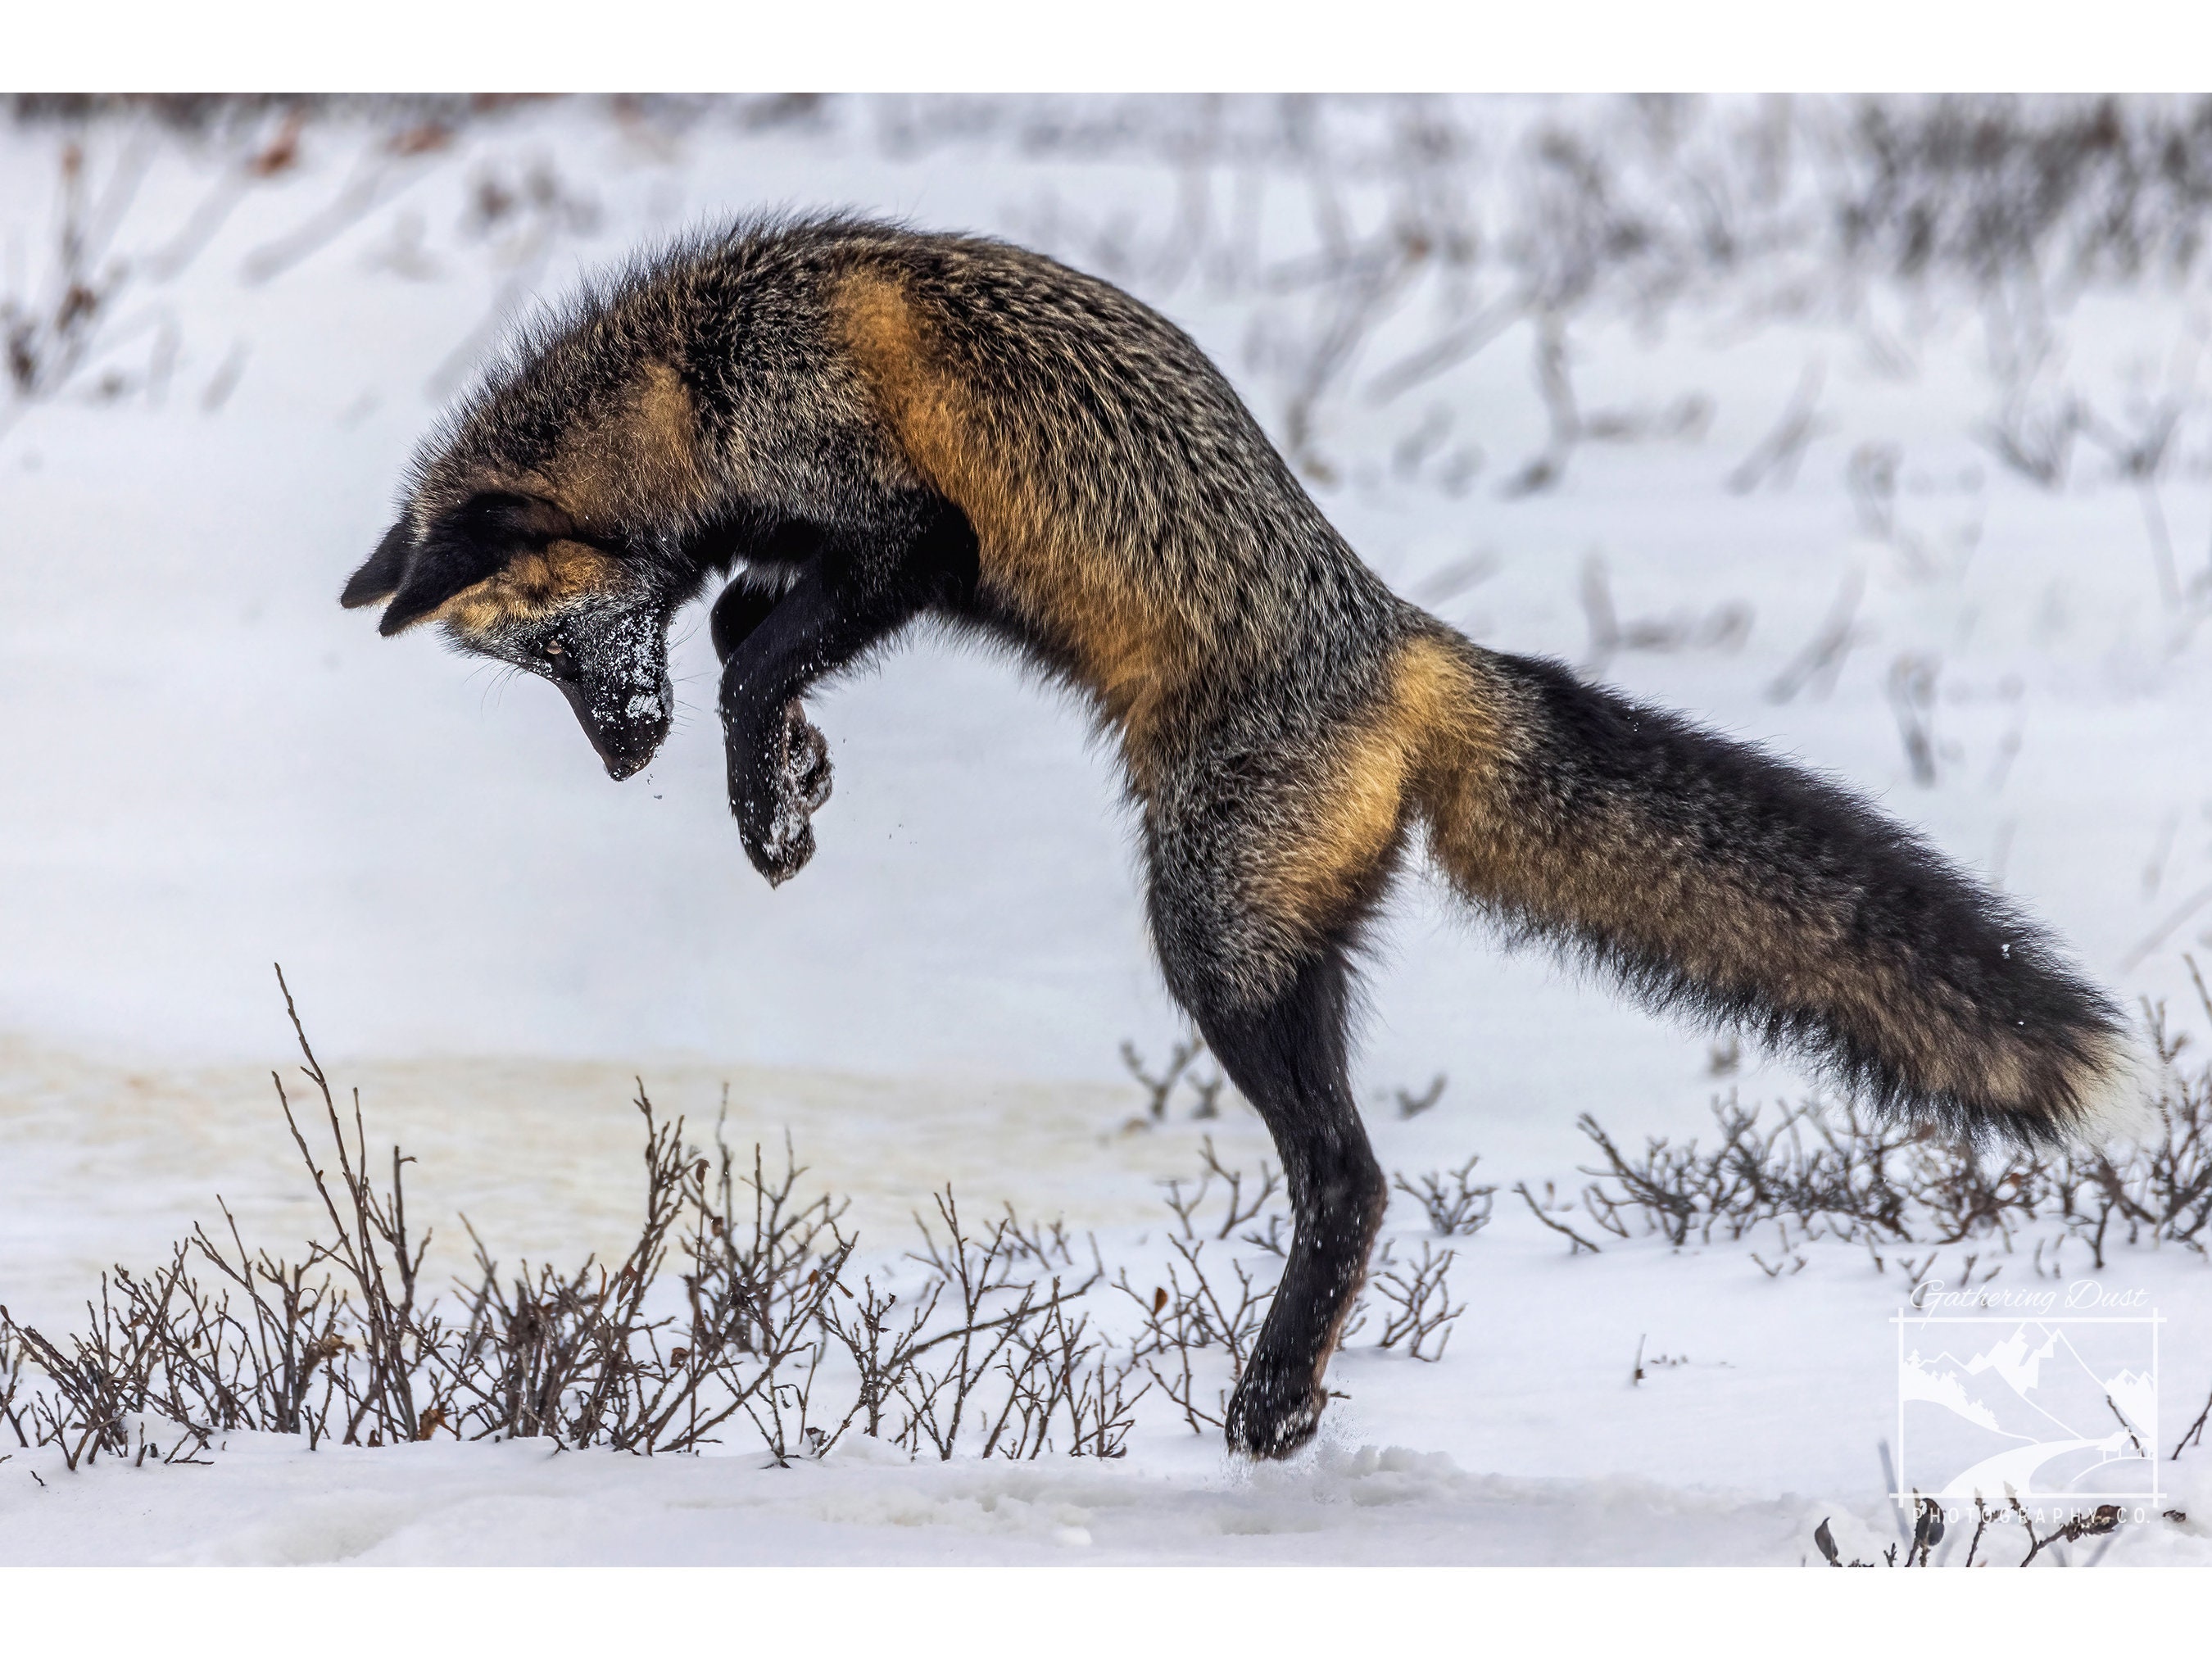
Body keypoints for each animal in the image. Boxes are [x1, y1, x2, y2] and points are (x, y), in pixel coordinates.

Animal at [343, 215, 2134, 1460]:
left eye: (556, 642)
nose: (621, 757)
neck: (698, 372)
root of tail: (1411, 647)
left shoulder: (913, 527)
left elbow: (751, 644)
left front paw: (759, 794)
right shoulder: (824, 550)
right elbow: (746, 633)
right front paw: (794, 775)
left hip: (1210, 933)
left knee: (1349, 1175)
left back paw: (1270, 1398)